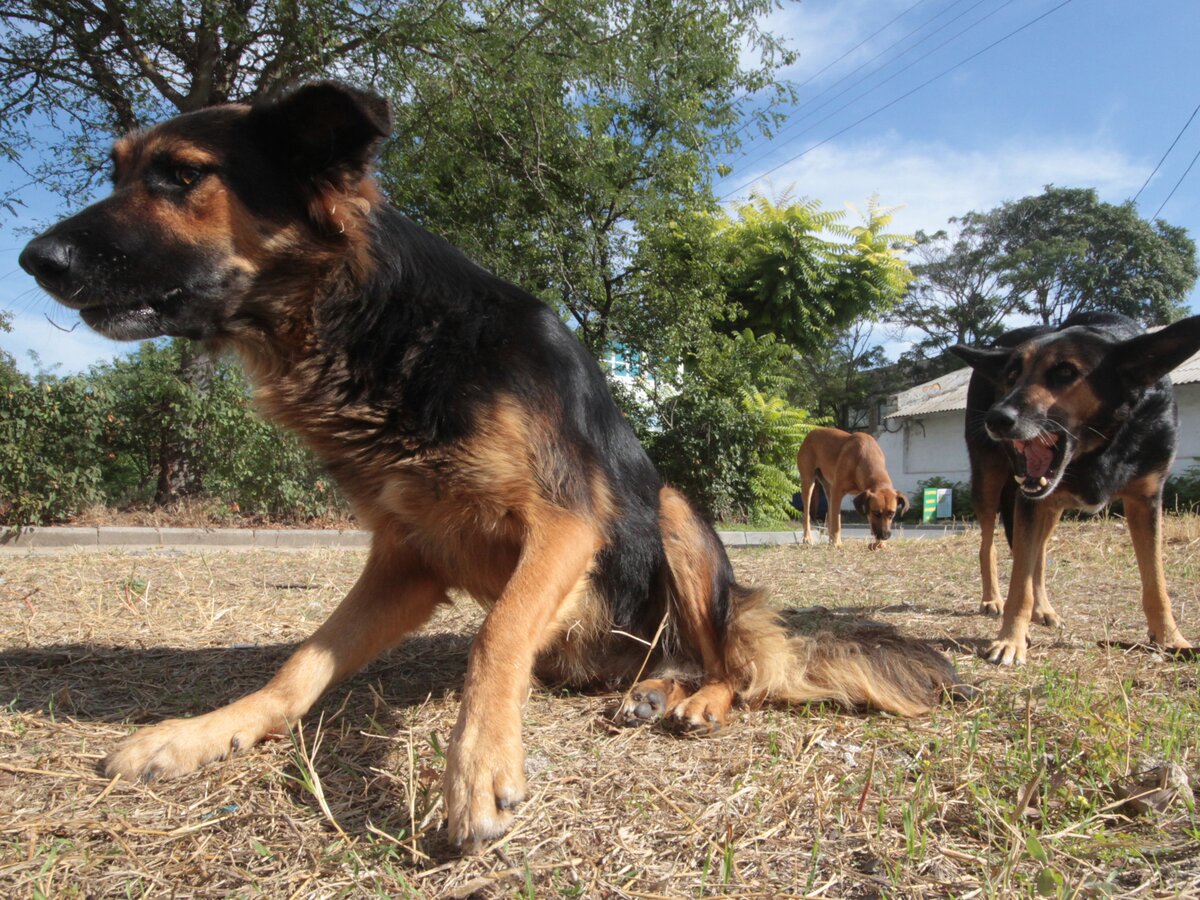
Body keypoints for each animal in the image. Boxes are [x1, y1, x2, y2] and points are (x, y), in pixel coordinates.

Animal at [18, 81, 964, 849]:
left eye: (181, 176)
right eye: (120, 171)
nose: (34, 260)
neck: (385, 326)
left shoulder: (565, 523)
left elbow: (493, 635)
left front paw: (475, 773)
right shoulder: (405, 562)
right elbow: (300, 665)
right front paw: (204, 731)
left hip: (672, 512)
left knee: (734, 666)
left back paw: (694, 698)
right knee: (675, 663)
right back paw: (655, 691)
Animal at [945, 314, 1200, 667]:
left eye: (1066, 372)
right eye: (1011, 375)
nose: (996, 417)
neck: (1099, 447)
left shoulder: (1146, 499)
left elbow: (1156, 581)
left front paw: (1171, 638)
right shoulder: (1028, 499)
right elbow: (1019, 584)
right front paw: (1010, 640)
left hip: (1051, 508)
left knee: (1037, 555)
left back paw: (1042, 608)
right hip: (989, 480)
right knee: (989, 546)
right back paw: (992, 599)